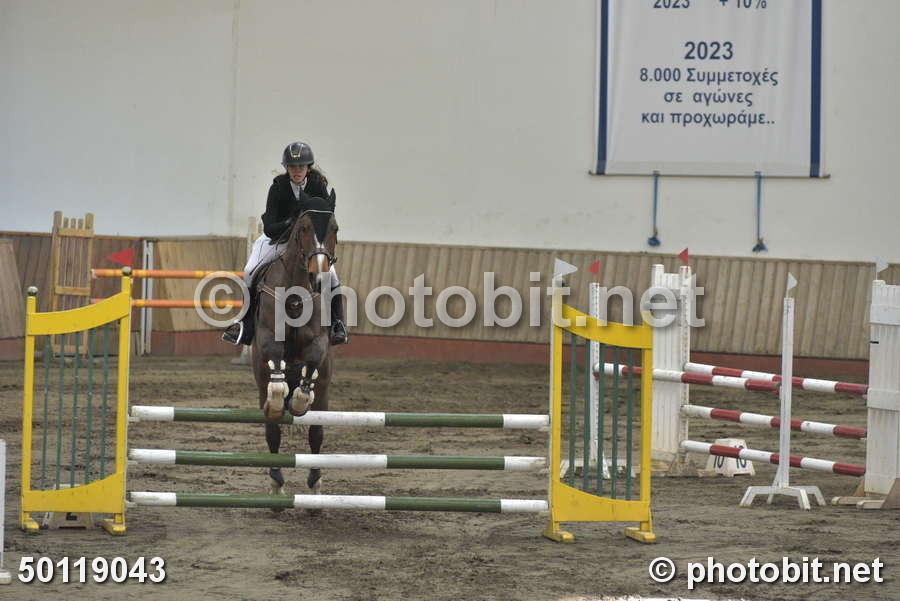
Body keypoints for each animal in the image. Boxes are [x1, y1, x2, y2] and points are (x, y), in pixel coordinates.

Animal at [250, 197, 338, 499]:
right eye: (303, 228)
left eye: (335, 228)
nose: (319, 279)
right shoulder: (267, 337)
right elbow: (276, 364)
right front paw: (280, 398)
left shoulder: (320, 342)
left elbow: (312, 357)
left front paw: (300, 399)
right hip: (260, 386)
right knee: (273, 432)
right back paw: (276, 482)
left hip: (323, 394)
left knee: (316, 434)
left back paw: (316, 482)